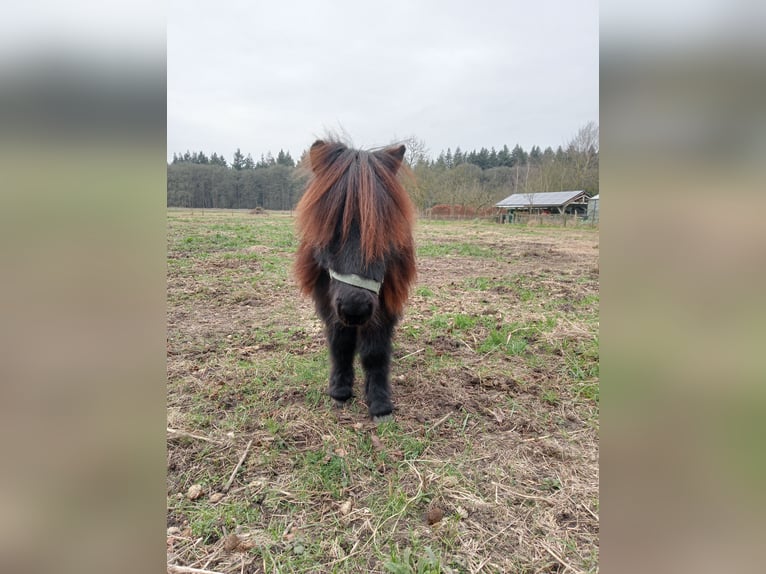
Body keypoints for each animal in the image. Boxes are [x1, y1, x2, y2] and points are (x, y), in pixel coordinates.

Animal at [294, 140, 416, 424]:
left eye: (384, 230)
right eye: (329, 226)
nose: (355, 309)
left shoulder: (384, 303)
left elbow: (375, 351)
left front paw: (380, 403)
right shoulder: (328, 301)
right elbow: (341, 343)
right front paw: (340, 391)